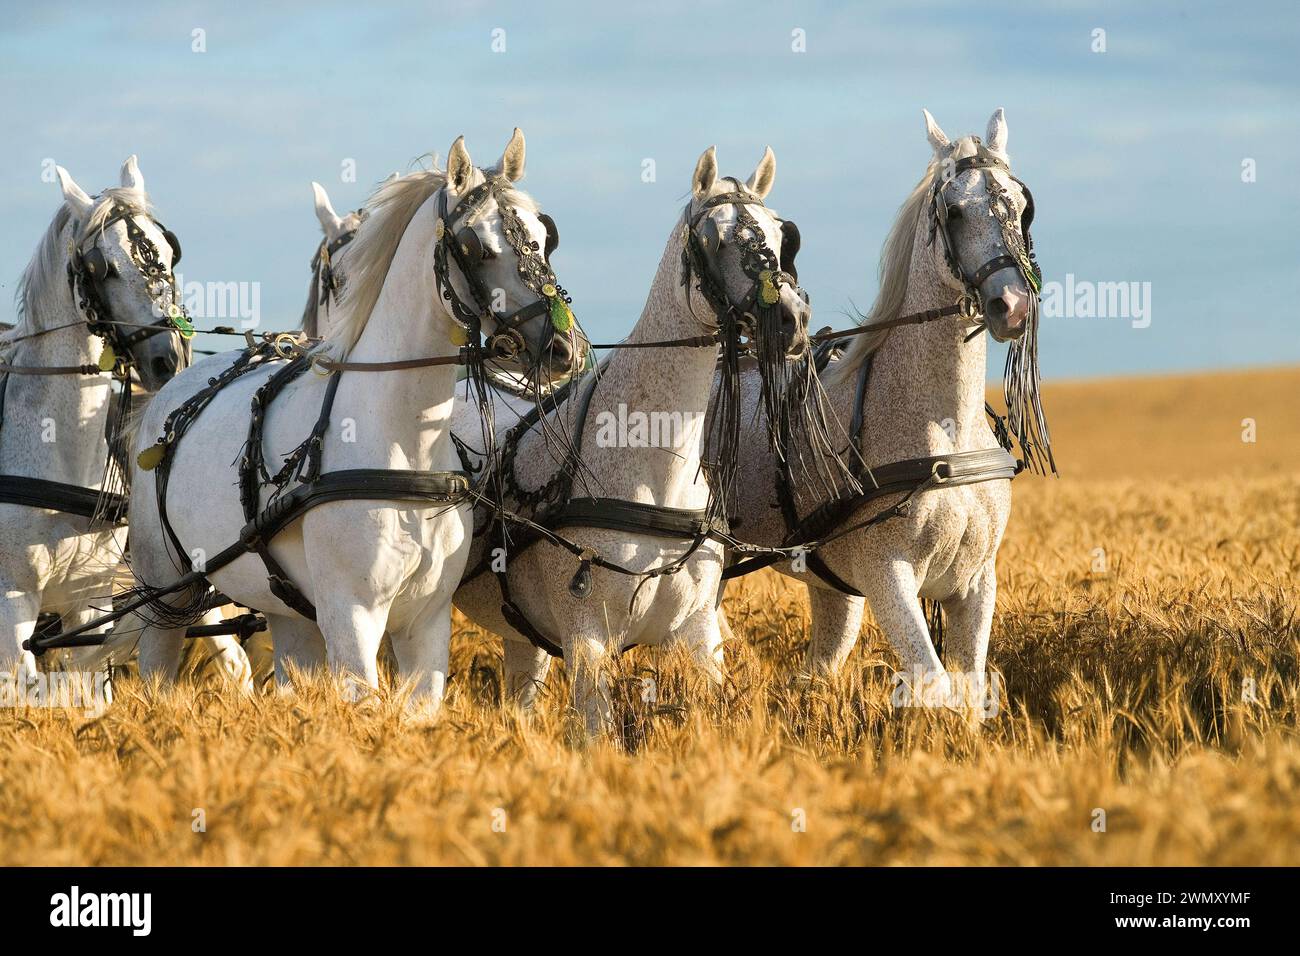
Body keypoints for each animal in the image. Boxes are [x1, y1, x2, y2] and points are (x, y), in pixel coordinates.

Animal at [124, 129, 581, 718]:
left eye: (544, 237)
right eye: (478, 246)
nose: (561, 349)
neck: (402, 442)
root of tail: (169, 393)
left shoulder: (426, 621)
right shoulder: (353, 615)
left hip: (287, 611)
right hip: (165, 591)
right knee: (157, 669)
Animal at [451, 146, 847, 735]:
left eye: (782, 235)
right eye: (717, 240)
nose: (793, 319)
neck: (653, 469)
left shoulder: (697, 633)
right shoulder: (586, 640)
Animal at [720, 108, 1052, 717]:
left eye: (1022, 204)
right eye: (953, 211)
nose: (1013, 305)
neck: (944, 430)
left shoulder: (976, 581)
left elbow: (971, 688)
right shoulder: (887, 575)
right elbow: (935, 683)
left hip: (830, 589)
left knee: (816, 668)